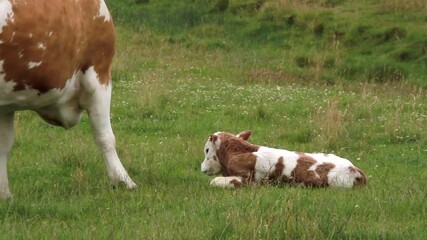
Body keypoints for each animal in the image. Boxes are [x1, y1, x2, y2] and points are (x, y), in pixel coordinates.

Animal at [0, 0, 136, 199]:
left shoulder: (7, 104)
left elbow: (4, 144)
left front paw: (4, 195)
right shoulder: (98, 71)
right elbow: (105, 136)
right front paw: (123, 181)